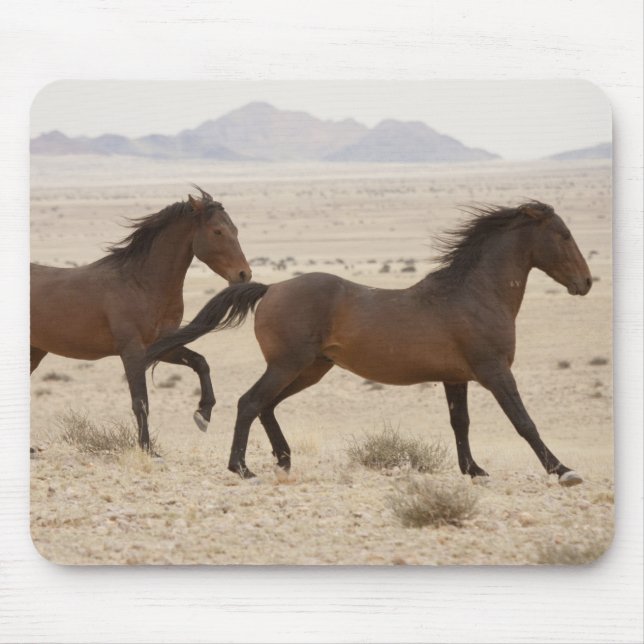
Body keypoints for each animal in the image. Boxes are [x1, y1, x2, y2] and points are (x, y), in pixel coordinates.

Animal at [31, 185, 251, 451]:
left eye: (235, 230)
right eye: (217, 231)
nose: (244, 274)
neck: (141, 283)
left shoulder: (163, 346)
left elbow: (201, 362)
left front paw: (203, 414)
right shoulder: (132, 351)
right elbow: (140, 402)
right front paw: (147, 449)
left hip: (35, 351)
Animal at [146, 201, 592, 484]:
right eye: (564, 235)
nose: (585, 282)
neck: (474, 294)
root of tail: (271, 288)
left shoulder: (456, 378)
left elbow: (460, 423)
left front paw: (475, 471)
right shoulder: (495, 372)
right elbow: (524, 422)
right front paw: (564, 471)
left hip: (310, 369)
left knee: (266, 406)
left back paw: (283, 461)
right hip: (289, 365)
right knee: (250, 402)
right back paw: (242, 469)